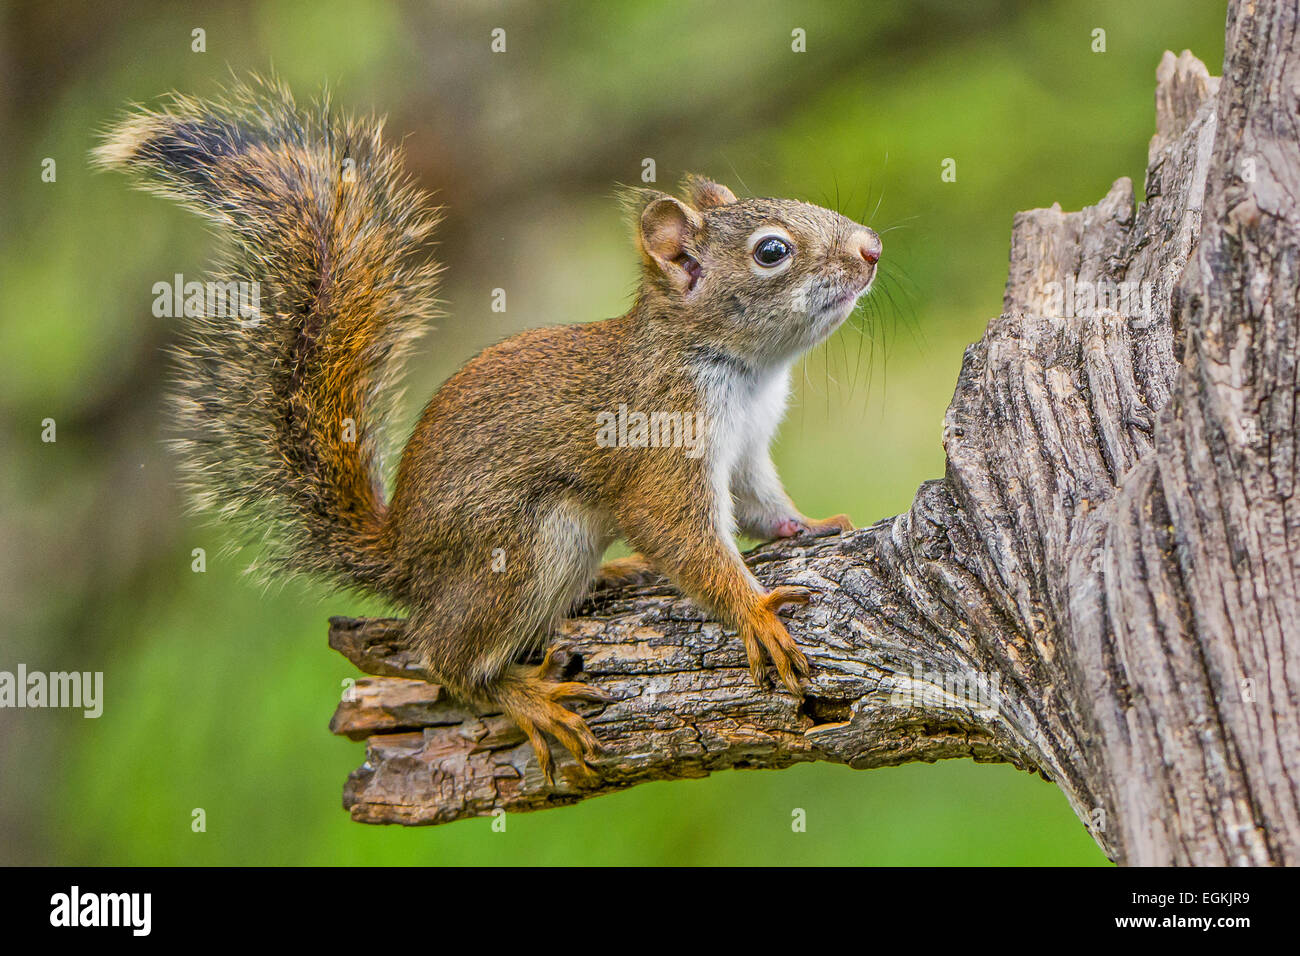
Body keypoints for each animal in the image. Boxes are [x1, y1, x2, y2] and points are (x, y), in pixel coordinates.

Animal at [96, 78, 878, 785]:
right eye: (771, 252)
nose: (871, 248)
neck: (738, 368)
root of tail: (405, 559)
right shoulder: (659, 439)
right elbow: (681, 533)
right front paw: (755, 612)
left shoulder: (746, 450)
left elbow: (760, 505)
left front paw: (809, 525)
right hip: (528, 544)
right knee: (446, 659)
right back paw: (525, 697)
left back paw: (614, 573)